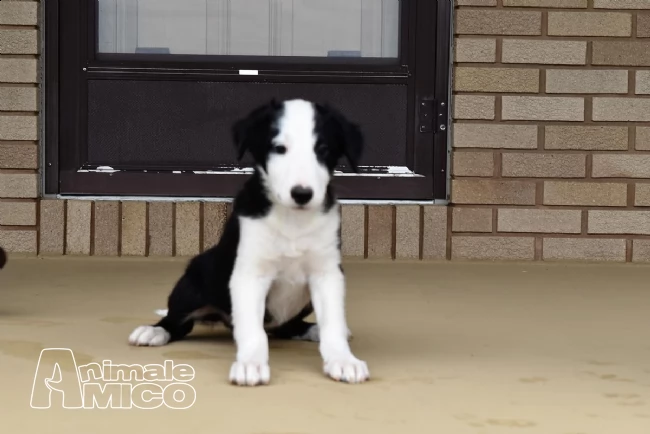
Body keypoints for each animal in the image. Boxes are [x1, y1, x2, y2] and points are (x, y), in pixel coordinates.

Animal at [128, 99, 370, 386]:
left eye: (323, 150)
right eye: (279, 148)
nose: (302, 194)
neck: (293, 219)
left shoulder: (327, 274)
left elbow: (333, 324)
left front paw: (343, 360)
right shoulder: (250, 274)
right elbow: (253, 332)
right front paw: (250, 365)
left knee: (287, 327)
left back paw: (313, 330)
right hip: (193, 281)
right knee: (178, 322)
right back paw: (153, 332)